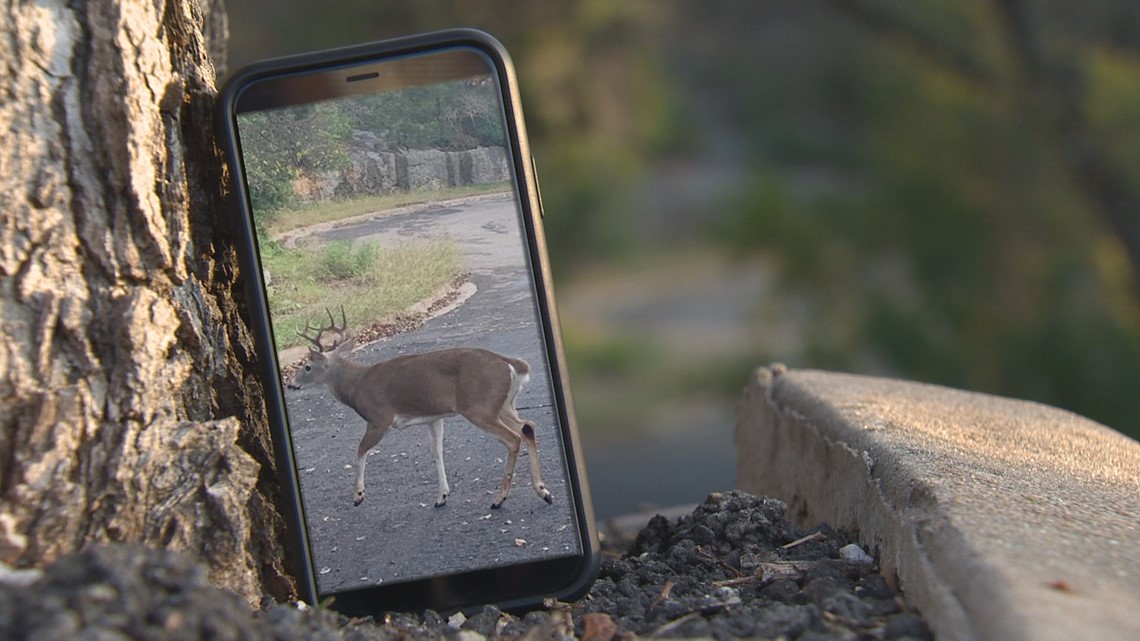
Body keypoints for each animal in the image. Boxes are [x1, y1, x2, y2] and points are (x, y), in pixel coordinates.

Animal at [286, 308, 553, 510]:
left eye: (307, 367)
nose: (290, 384)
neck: (356, 385)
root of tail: (510, 364)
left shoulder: (379, 417)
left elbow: (360, 449)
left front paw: (358, 495)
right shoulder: (433, 418)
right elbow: (437, 452)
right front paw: (442, 496)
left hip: (479, 407)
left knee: (513, 437)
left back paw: (500, 498)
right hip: (503, 405)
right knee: (528, 426)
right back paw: (543, 491)